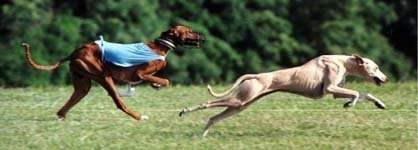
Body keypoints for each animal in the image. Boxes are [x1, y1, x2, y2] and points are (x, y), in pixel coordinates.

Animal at [180, 54, 388, 137]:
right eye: (377, 67)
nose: (386, 79)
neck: (343, 61)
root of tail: (256, 76)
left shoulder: (335, 91)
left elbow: (365, 93)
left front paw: (379, 103)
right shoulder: (330, 88)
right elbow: (355, 93)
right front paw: (350, 104)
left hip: (240, 105)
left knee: (213, 118)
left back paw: (202, 136)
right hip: (239, 100)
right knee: (207, 103)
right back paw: (184, 111)